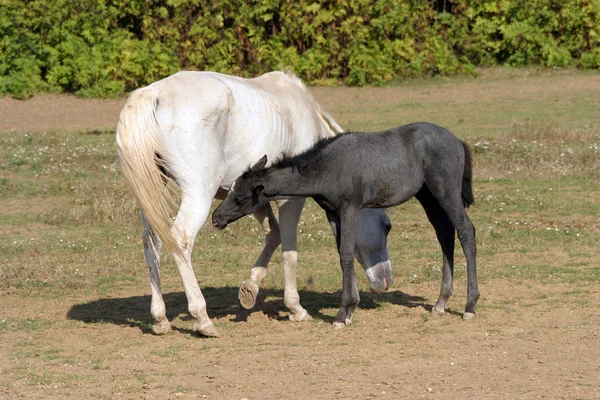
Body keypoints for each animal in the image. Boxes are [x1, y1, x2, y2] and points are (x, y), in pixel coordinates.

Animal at [117, 70, 394, 336]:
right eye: (386, 226)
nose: (386, 281)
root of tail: (153, 94)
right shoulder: (289, 201)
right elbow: (289, 253)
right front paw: (295, 308)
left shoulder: (254, 199)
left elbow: (273, 234)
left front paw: (250, 288)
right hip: (197, 196)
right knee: (181, 241)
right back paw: (202, 319)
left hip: (153, 194)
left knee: (152, 244)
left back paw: (160, 319)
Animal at [212, 122, 478, 328]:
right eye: (232, 191)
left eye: (240, 198)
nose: (216, 217)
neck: (328, 167)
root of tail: (457, 141)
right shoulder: (333, 212)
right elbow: (343, 253)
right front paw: (350, 309)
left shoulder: (350, 207)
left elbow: (347, 254)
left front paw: (341, 315)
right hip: (428, 197)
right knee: (445, 233)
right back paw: (441, 303)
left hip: (446, 192)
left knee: (466, 231)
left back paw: (470, 306)